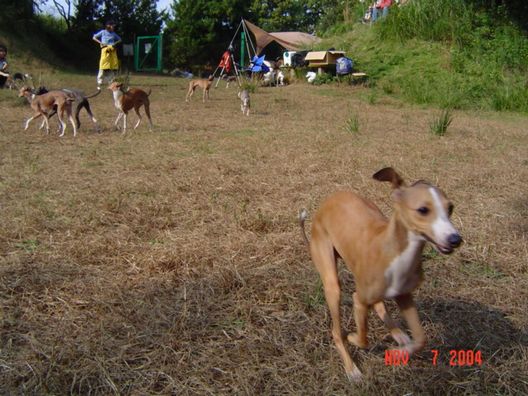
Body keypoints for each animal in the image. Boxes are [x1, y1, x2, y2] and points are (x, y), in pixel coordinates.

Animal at [302, 166, 462, 380]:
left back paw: (399, 334)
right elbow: (363, 339)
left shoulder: (404, 295)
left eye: (450, 208)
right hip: (331, 282)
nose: (455, 239)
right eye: (423, 210)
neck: (395, 250)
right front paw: (352, 338)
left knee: (379, 305)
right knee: (336, 331)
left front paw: (399, 352)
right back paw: (351, 368)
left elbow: (421, 339)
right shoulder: (359, 300)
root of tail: (327, 201)